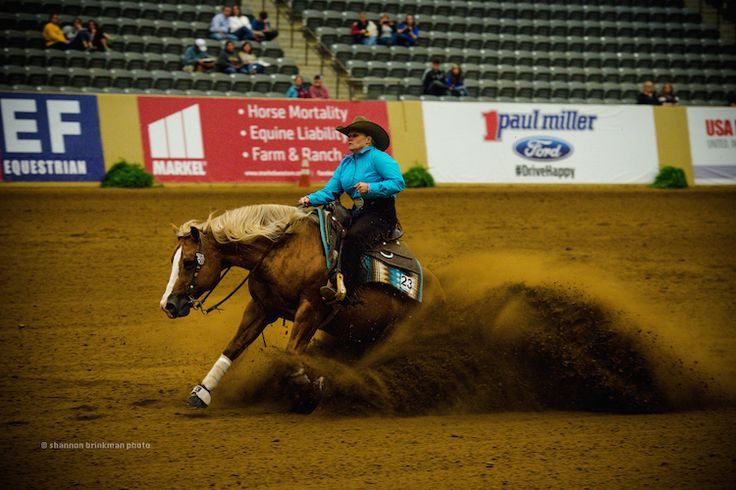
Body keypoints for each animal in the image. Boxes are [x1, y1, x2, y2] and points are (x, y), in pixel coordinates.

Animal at [159, 204, 443, 410]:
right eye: (173, 259)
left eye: (188, 262)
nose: (168, 305)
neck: (281, 251)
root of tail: (436, 289)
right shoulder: (262, 308)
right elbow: (234, 347)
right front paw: (202, 393)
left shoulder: (311, 311)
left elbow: (291, 355)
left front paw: (312, 390)